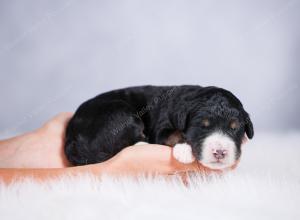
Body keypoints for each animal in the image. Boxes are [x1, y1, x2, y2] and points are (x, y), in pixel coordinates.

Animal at [65, 85, 253, 170]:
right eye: (202, 126)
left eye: (235, 128)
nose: (220, 152)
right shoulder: (160, 129)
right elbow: (174, 134)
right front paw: (184, 150)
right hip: (121, 113)